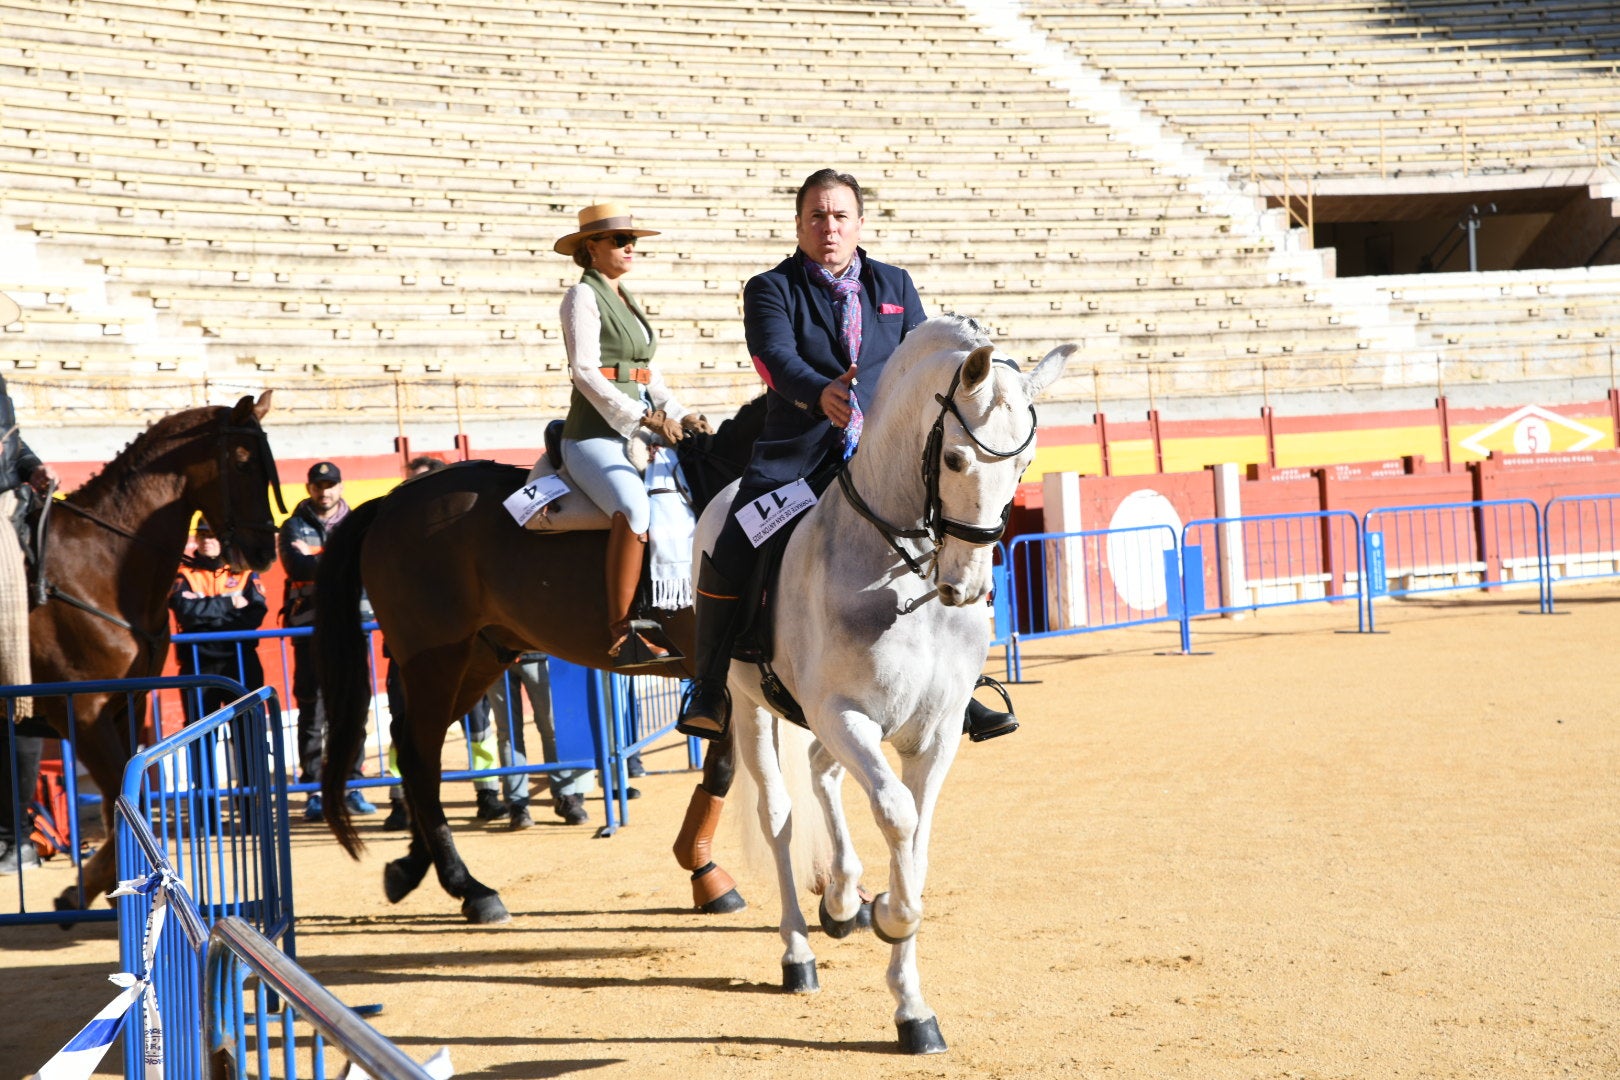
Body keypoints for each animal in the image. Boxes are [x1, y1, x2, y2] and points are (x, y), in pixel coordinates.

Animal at [29, 395, 283, 913]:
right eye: (242, 462)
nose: (265, 550)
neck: (101, 565)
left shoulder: (126, 704)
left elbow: (124, 797)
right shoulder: (81, 714)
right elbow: (126, 790)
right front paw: (89, 887)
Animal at [319, 401, 767, 926]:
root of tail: (391, 502)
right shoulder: (717, 676)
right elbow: (725, 768)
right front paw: (707, 875)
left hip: (477, 661)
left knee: (412, 749)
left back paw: (411, 868)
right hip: (436, 661)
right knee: (417, 756)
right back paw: (470, 888)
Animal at [690, 314, 1069, 1055]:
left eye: (1023, 467)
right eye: (956, 460)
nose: (966, 587)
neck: (903, 571)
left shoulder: (934, 732)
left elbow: (915, 837)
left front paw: (911, 1002)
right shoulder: (843, 713)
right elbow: (894, 814)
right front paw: (892, 916)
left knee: (822, 773)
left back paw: (841, 901)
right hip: (752, 707)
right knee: (779, 813)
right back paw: (800, 951)